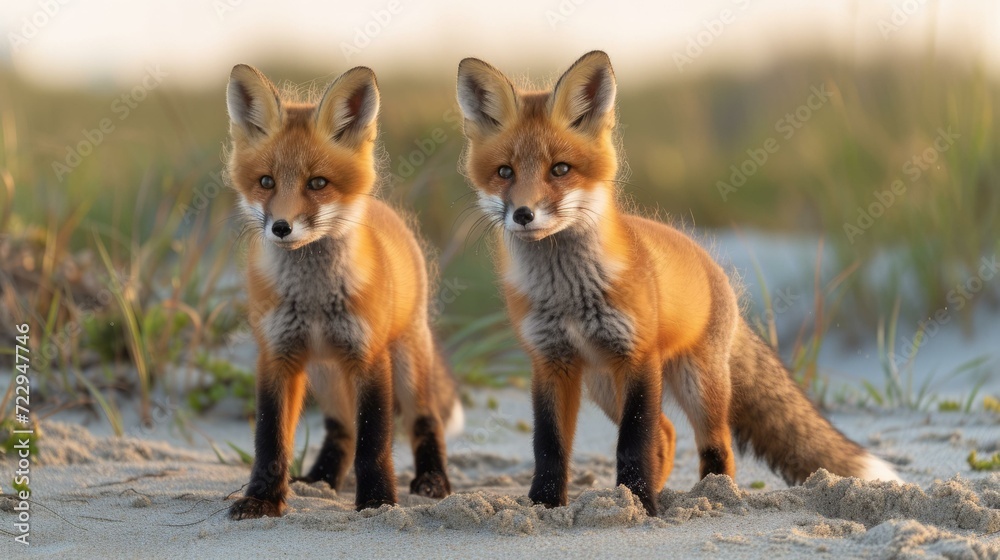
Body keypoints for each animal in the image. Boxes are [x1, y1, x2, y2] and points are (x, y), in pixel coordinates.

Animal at [225, 64, 462, 519]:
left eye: (318, 183)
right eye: (266, 181)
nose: (281, 227)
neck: (314, 300)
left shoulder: (368, 357)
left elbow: (374, 442)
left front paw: (377, 500)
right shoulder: (276, 356)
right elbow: (270, 441)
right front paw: (262, 498)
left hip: (406, 362)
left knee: (424, 420)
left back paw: (432, 480)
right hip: (324, 375)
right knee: (342, 431)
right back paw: (319, 481)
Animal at [455, 51, 901, 516]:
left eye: (560, 169)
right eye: (504, 172)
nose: (523, 214)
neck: (569, 295)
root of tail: (711, 264)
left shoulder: (638, 358)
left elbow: (633, 443)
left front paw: (638, 506)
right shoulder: (550, 361)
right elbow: (550, 445)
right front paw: (546, 505)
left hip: (696, 383)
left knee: (716, 444)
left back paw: (713, 495)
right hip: (603, 384)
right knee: (667, 432)